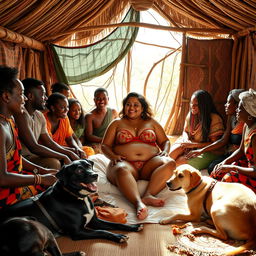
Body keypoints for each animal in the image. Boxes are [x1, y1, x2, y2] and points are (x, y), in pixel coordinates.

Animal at [0, 159, 142, 243]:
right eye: (79, 170)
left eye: (89, 165)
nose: (95, 175)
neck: (78, 197)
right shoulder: (78, 232)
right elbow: (102, 232)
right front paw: (118, 237)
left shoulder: (95, 221)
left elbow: (116, 224)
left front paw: (133, 226)